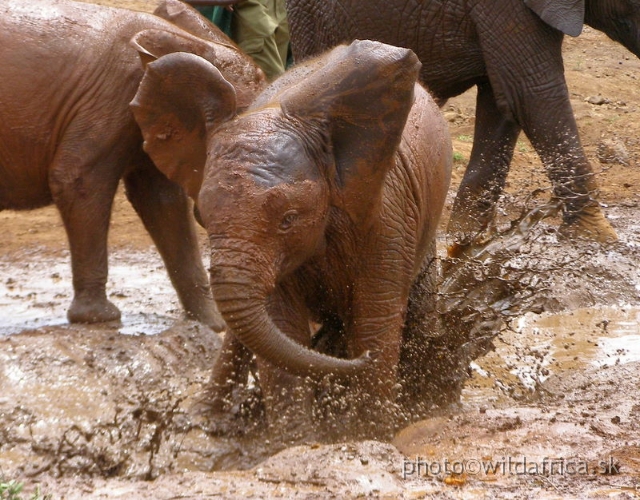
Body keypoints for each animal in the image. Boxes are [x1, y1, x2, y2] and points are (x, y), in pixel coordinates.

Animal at [131, 39, 450, 440]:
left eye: (288, 220)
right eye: (201, 218)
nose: (356, 361)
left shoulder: (386, 213)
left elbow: (374, 319)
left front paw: (370, 435)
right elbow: (281, 326)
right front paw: (295, 442)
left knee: (419, 310)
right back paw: (205, 417)